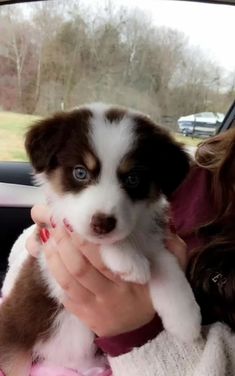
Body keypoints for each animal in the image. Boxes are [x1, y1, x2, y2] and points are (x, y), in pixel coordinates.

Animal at [0, 103, 202, 376]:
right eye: (80, 172)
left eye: (133, 179)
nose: (102, 224)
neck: (134, 234)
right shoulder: (54, 251)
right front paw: (128, 260)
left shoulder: (152, 239)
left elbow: (169, 267)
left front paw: (186, 321)